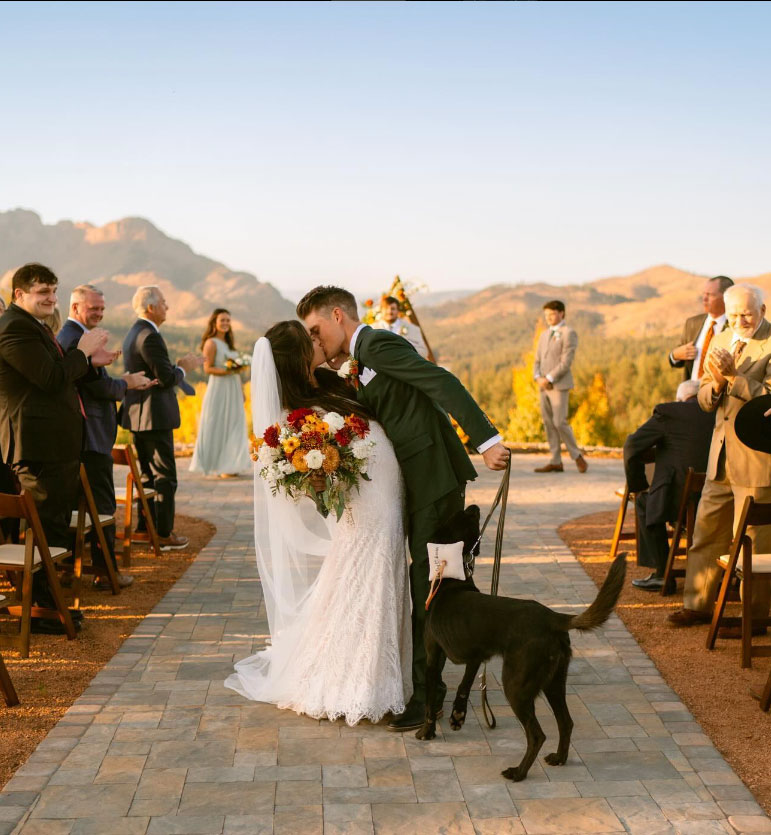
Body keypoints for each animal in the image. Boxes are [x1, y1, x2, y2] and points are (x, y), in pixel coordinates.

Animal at [416, 502, 628, 784]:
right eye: (466, 517)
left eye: (459, 514)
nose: (474, 506)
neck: (451, 582)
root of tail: (554, 617)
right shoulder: (476, 657)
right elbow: (464, 685)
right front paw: (457, 716)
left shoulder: (433, 655)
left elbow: (430, 699)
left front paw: (426, 731)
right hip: (553, 682)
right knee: (566, 722)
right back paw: (559, 758)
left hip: (516, 685)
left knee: (537, 735)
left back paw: (518, 772)